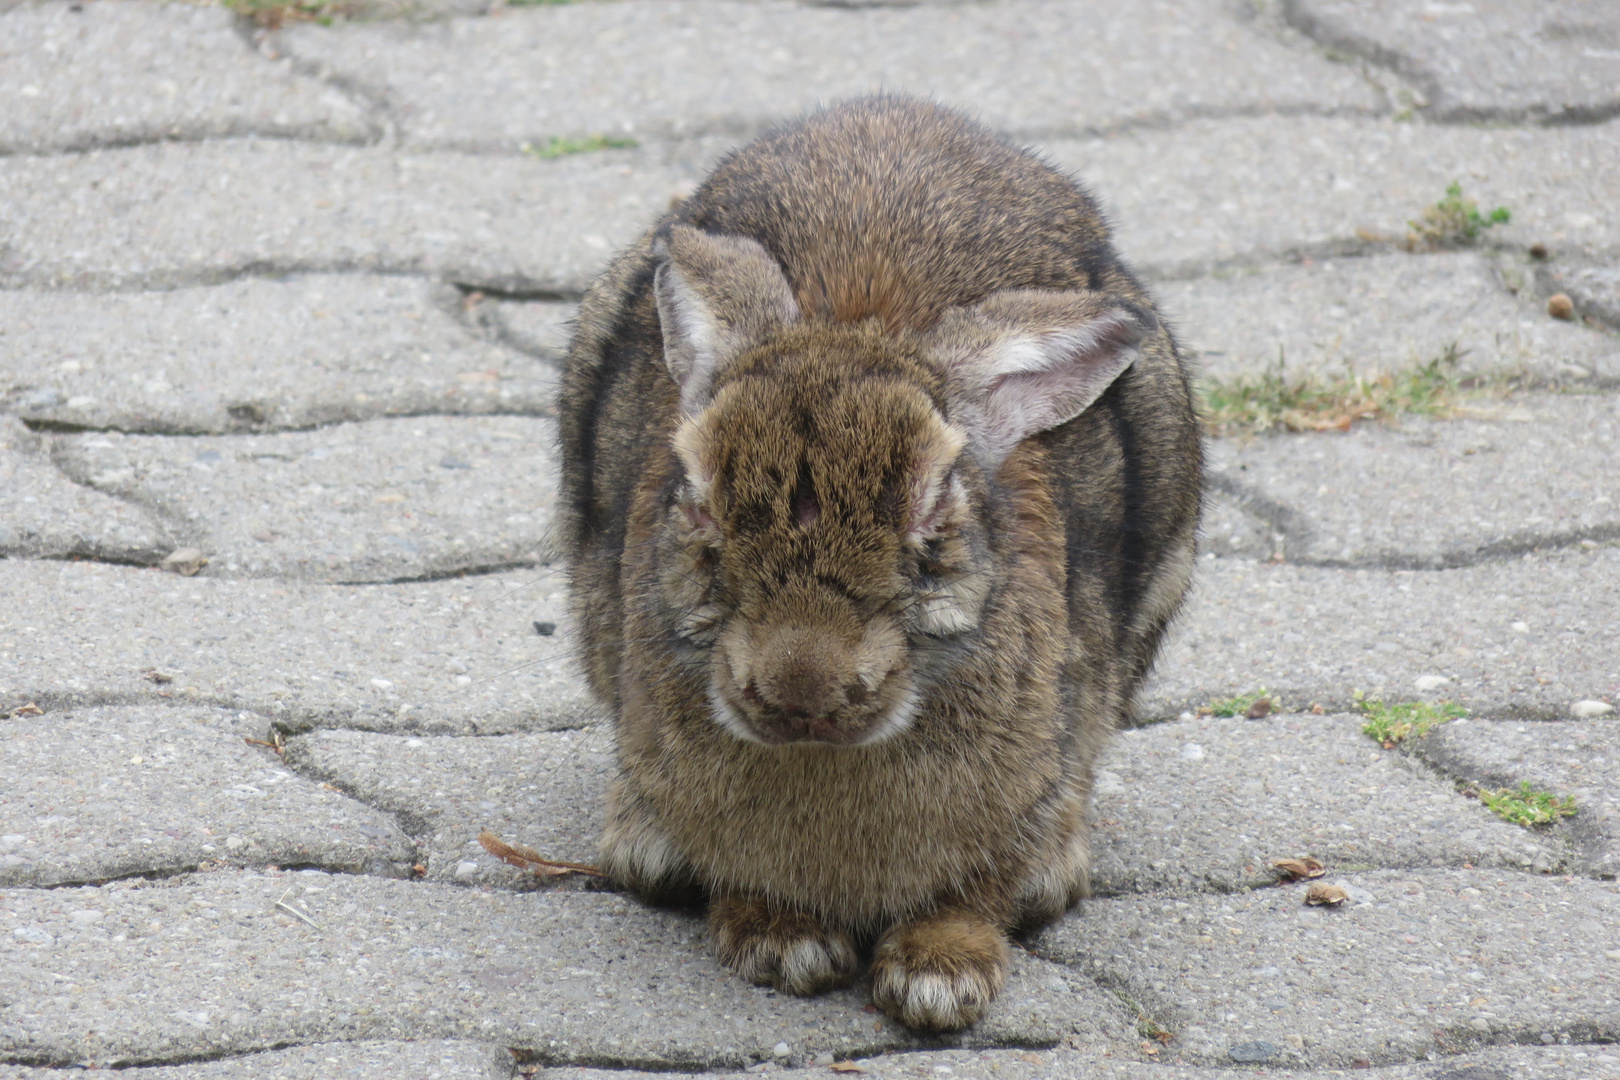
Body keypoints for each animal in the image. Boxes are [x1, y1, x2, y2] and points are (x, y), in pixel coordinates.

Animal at [557, 97, 1205, 1036]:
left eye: (931, 516)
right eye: (697, 498)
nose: (800, 686)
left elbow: (980, 889)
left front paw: (940, 978)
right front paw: (785, 944)